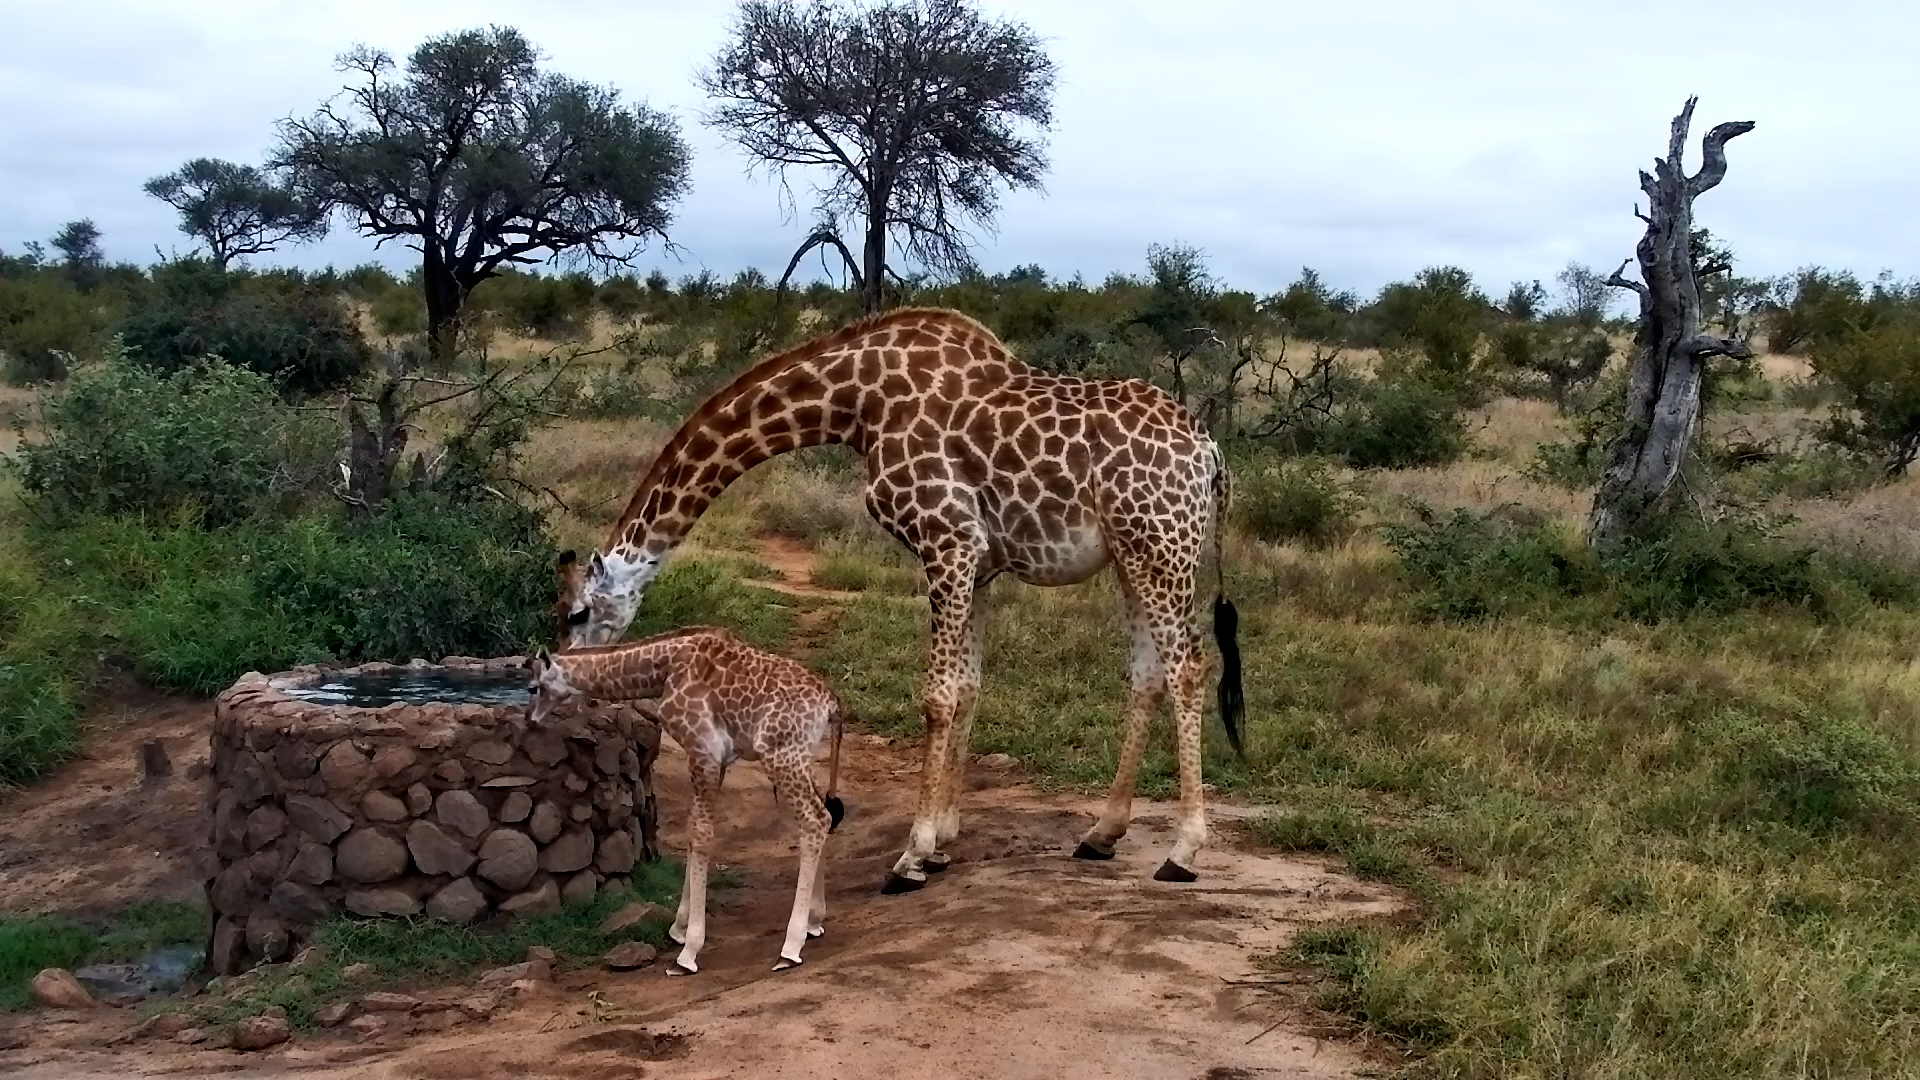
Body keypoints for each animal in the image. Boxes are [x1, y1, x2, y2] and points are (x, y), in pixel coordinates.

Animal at [527, 625, 847, 974]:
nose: (531, 720)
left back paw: (790, 947)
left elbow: (702, 835)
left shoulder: (703, 751)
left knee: (815, 819)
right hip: (799, 756)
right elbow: (693, 832)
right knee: (824, 815)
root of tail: (831, 705)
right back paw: (814, 921)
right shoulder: (718, 759)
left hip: (779, 755)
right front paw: (679, 929)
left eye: (533, 687)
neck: (665, 669)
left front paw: (688, 952)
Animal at [555, 307, 1245, 892]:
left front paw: (911, 856)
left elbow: (937, 697)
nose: (566, 681)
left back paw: (1182, 851)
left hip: (1158, 543)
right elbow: (967, 686)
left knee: (1188, 668)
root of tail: (1210, 452)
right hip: (1132, 554)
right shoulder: (979, 561)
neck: (857, 403)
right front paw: (944, 838)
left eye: (578, 612)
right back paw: (1102, 834)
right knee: (1148, 674)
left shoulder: (948, 538)